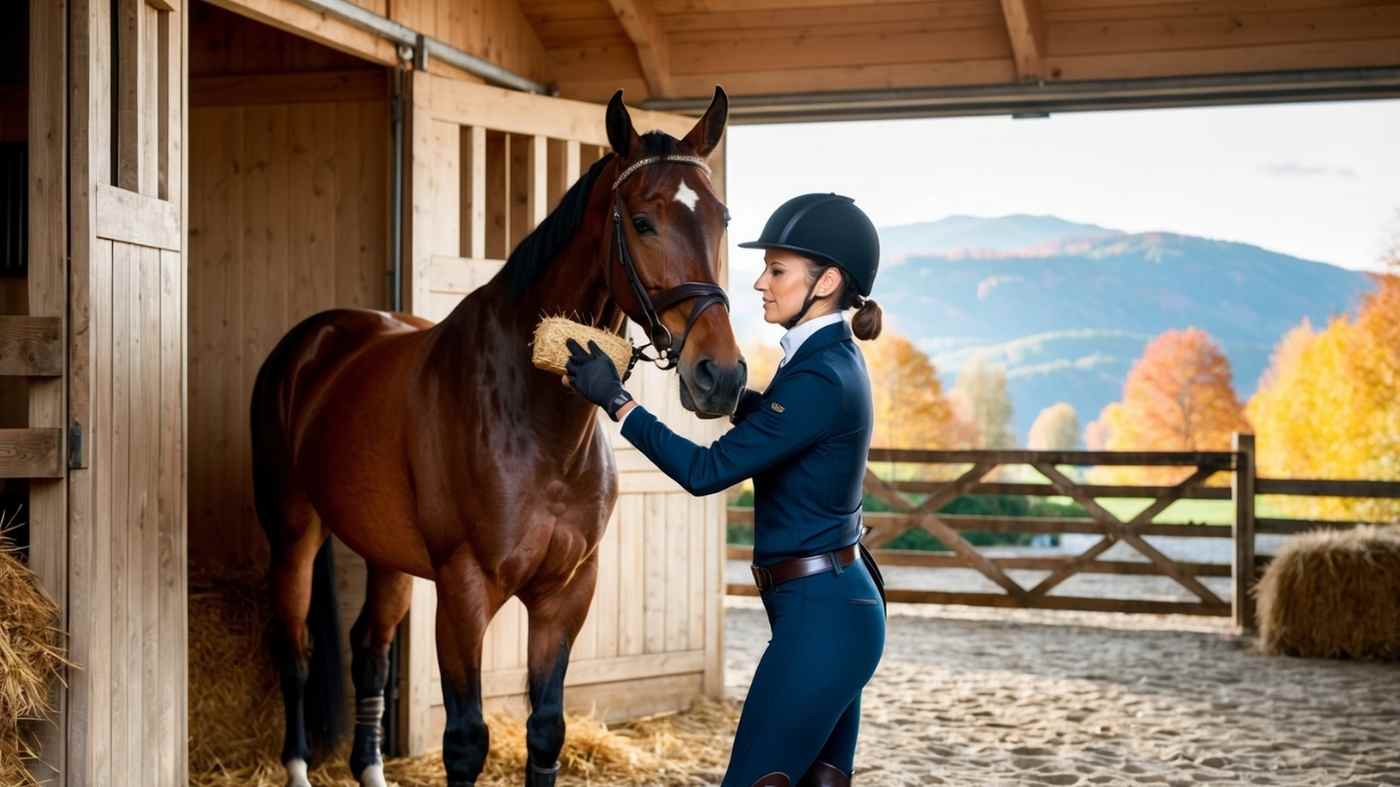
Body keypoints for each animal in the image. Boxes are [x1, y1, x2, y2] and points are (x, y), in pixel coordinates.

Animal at [250, 88, 744, 784]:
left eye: (722, 219)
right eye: (644, 222)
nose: (719, 375)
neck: (538, 424)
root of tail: (312, 343)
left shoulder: (565, 594)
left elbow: (546, 730)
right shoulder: (464, 591)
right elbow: (465, 739)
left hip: (387, 557)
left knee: (368, 649)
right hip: (293, 531)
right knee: (294, 650)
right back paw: (296, 765)